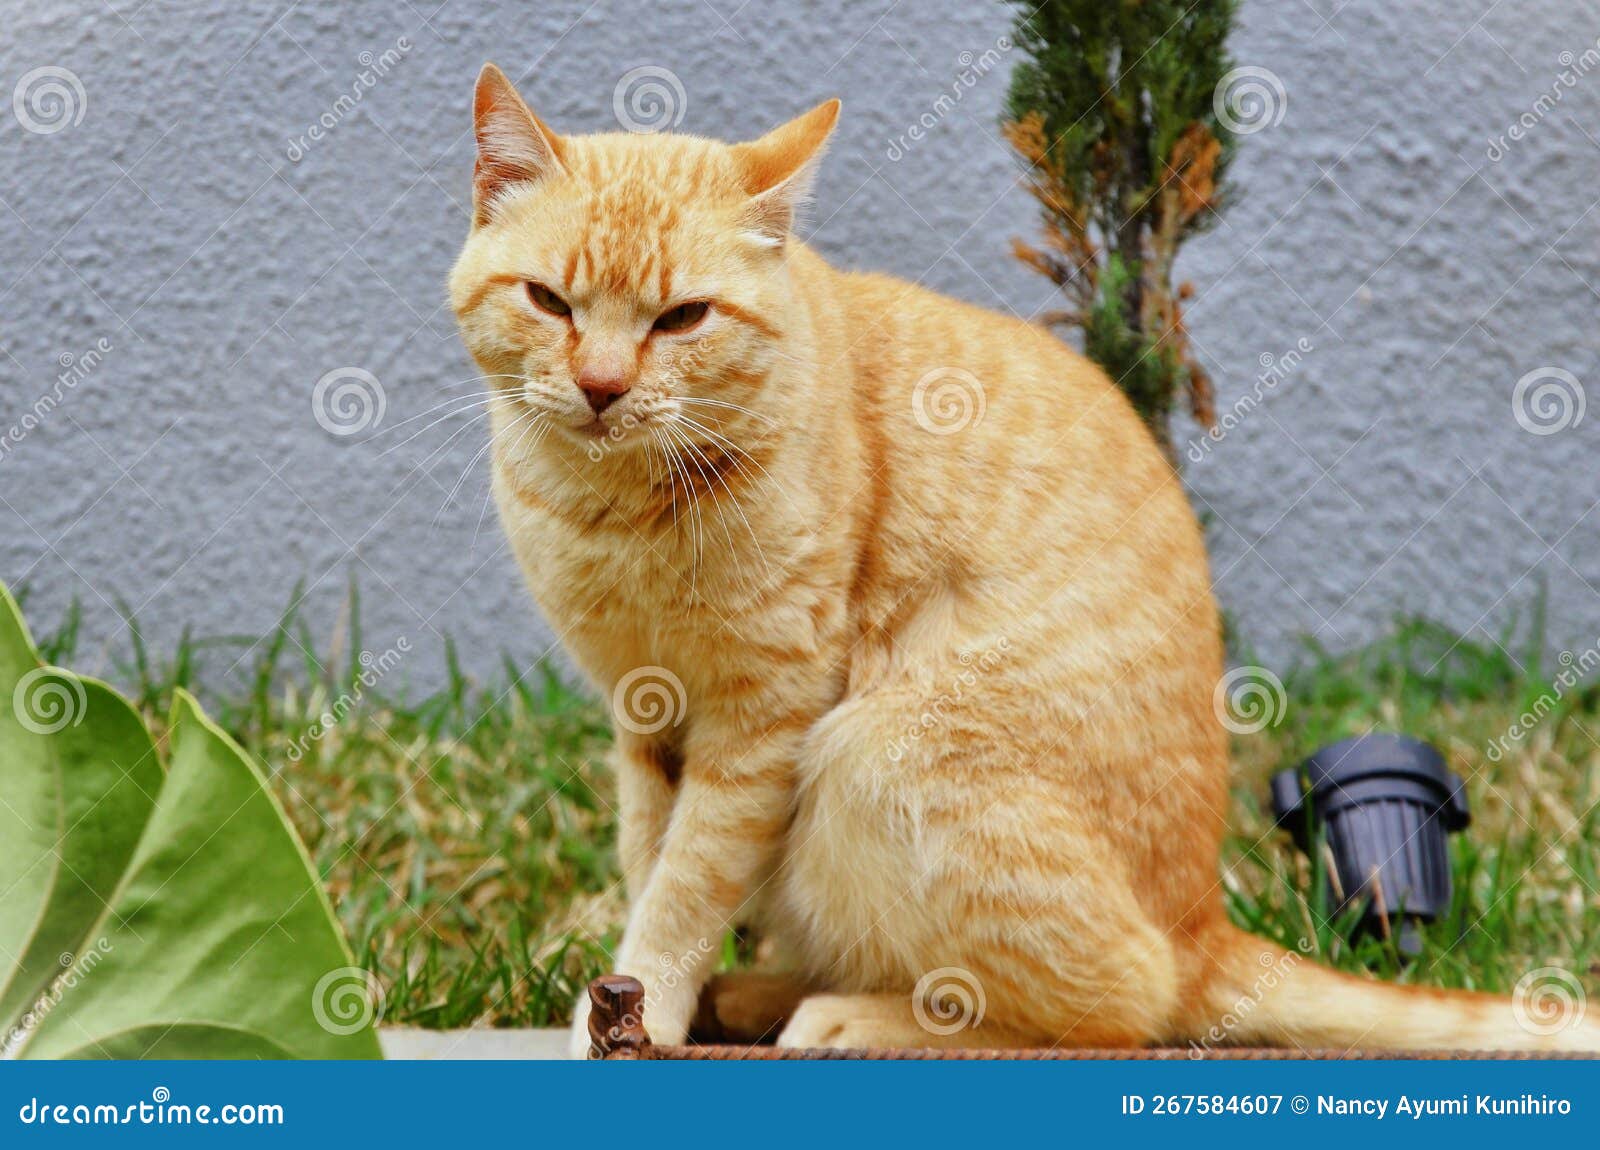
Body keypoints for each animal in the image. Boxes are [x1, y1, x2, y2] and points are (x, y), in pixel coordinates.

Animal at [448, 60, 1600, 1055]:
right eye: (549, 302)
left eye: (683, 317)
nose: (601, 386)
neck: (609, 506)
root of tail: (1201, 923)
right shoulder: (645, 714)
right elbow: (652, 859)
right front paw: (637, 1003)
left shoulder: (760, 718)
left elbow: (687, 883)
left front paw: (645, 1004)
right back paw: (762, 994)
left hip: (875, 748)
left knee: (1111, 1007)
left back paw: (851, 1014)